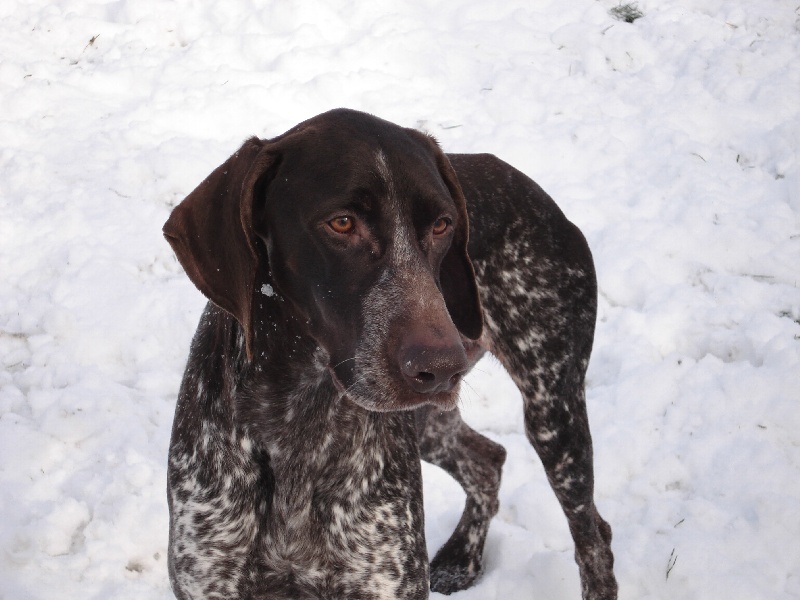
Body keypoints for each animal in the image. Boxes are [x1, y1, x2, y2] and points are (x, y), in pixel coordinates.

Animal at [161, 109, 612, 600]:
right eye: (341, 223)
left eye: (442, 225)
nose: (442, 366)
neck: (299, 416)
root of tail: (528, 186)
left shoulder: (388, 578)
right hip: (432, 422)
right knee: (487, 459)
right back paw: (462, 557)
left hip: (553, 414)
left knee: (593, 540)